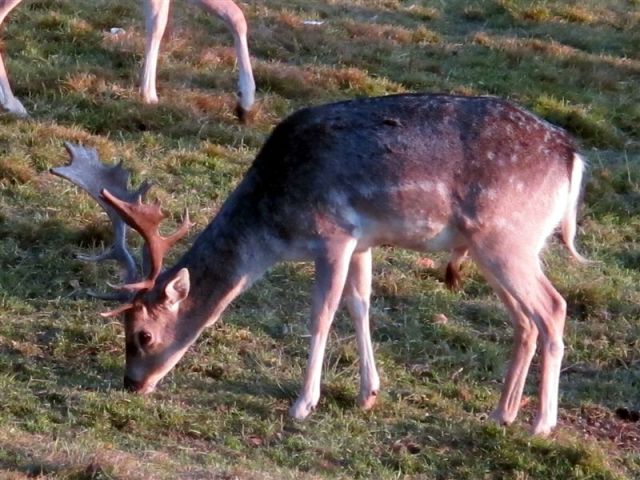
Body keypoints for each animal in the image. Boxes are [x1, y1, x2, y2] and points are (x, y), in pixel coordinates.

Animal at [52, 93, 588, 436]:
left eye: (143, 334)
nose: (131, 383)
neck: (275, 222)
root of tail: (573, 156)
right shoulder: (363, 240)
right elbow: (360, 304)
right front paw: (368, 393)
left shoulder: (332, 233)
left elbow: (322, 314)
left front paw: (302, 404)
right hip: (495, 247)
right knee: (525, 320)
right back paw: (501, 415)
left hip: (507, 238)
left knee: (554, 307)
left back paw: (541, 425)